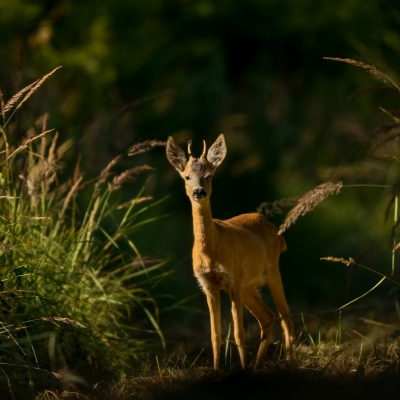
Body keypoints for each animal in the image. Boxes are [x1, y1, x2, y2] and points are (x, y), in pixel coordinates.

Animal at [166, 134, 294, 368]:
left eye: (208, 176)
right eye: (187, 177)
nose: (199, 191)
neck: (211, 252)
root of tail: (278, 233)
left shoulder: (232, 280)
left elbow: (238, 333)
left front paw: (241, 368)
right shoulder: (208, 285)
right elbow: (215, 334)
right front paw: (217, 369)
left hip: (271, 270)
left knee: (285, 316)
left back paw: (289, 362)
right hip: (248, 286)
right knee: (268, 317)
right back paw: (257, 366)